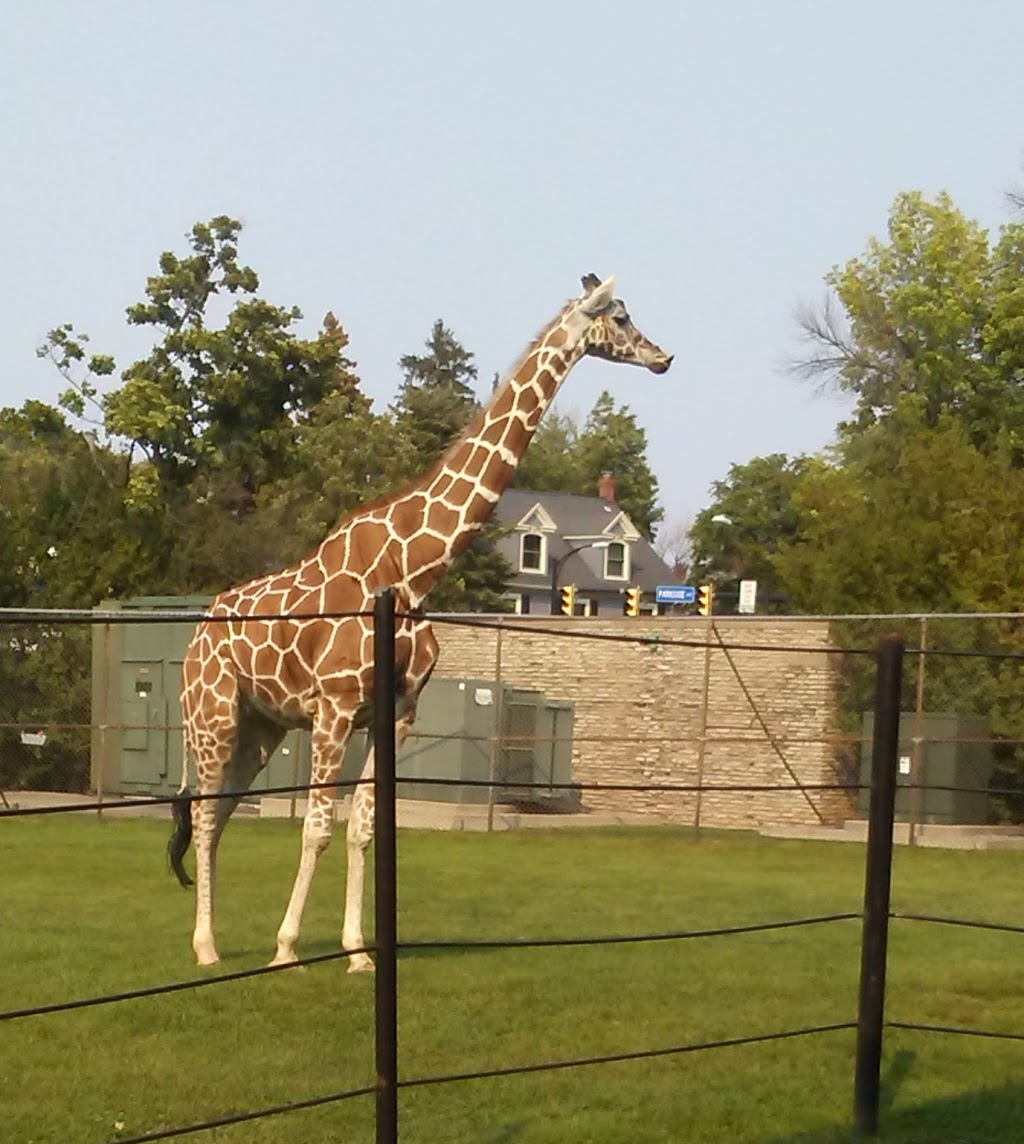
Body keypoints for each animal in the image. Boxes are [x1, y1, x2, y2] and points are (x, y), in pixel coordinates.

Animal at [168, 272, 672, 970]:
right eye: (620, 318)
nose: (663, 357)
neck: (413, 566)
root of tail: (196, 633)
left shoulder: (396, 712)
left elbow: (363, 825)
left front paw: (358, 953)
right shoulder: (333, 709)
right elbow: (317, 826)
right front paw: (288, 948)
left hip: (260, 727)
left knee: (216, 818)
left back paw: (212, 945)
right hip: (212, 716)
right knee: (205, 815)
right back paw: (205, 949)